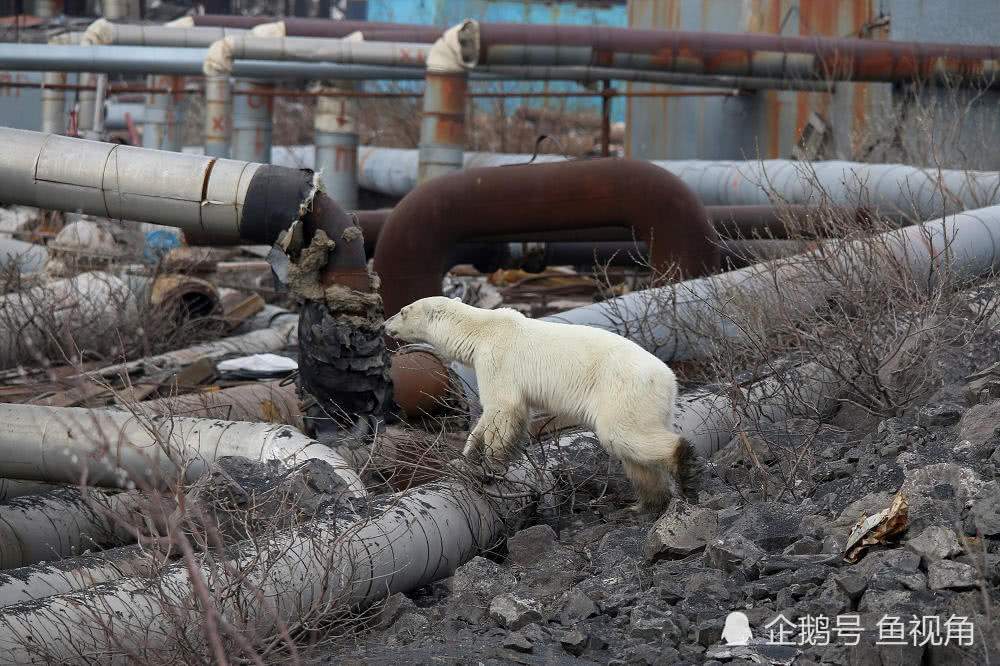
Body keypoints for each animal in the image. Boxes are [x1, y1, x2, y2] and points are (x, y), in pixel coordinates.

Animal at [382, 296, 696, 508]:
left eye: (402, 310)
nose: (385, 324)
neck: (480, 330)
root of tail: (669, 380)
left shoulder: (496, 359)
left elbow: (502, 407)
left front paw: (491, 466)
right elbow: (492, 418)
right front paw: (464, 458)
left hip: (623, 391)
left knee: (623, 434)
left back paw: (681, 461)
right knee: (635, 455)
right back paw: (646, 503)